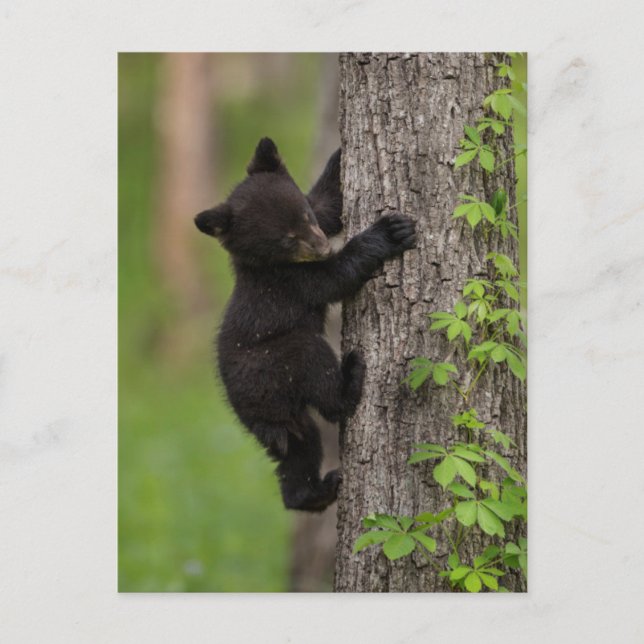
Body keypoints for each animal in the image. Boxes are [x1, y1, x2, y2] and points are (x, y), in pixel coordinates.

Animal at [195, 137, 416, 512]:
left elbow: (328, 204)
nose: (322, 247)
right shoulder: (290, 281)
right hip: (277, 362)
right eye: (285, 238)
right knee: (318, 376)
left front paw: (340, 156)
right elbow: (336, 276)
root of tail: (249, 409)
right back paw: (350, 380)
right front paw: (389, 232)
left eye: (304, 216)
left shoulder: (315, 220)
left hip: (284, 420)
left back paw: (313, 493)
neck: (267, 264)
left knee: (299, 448)